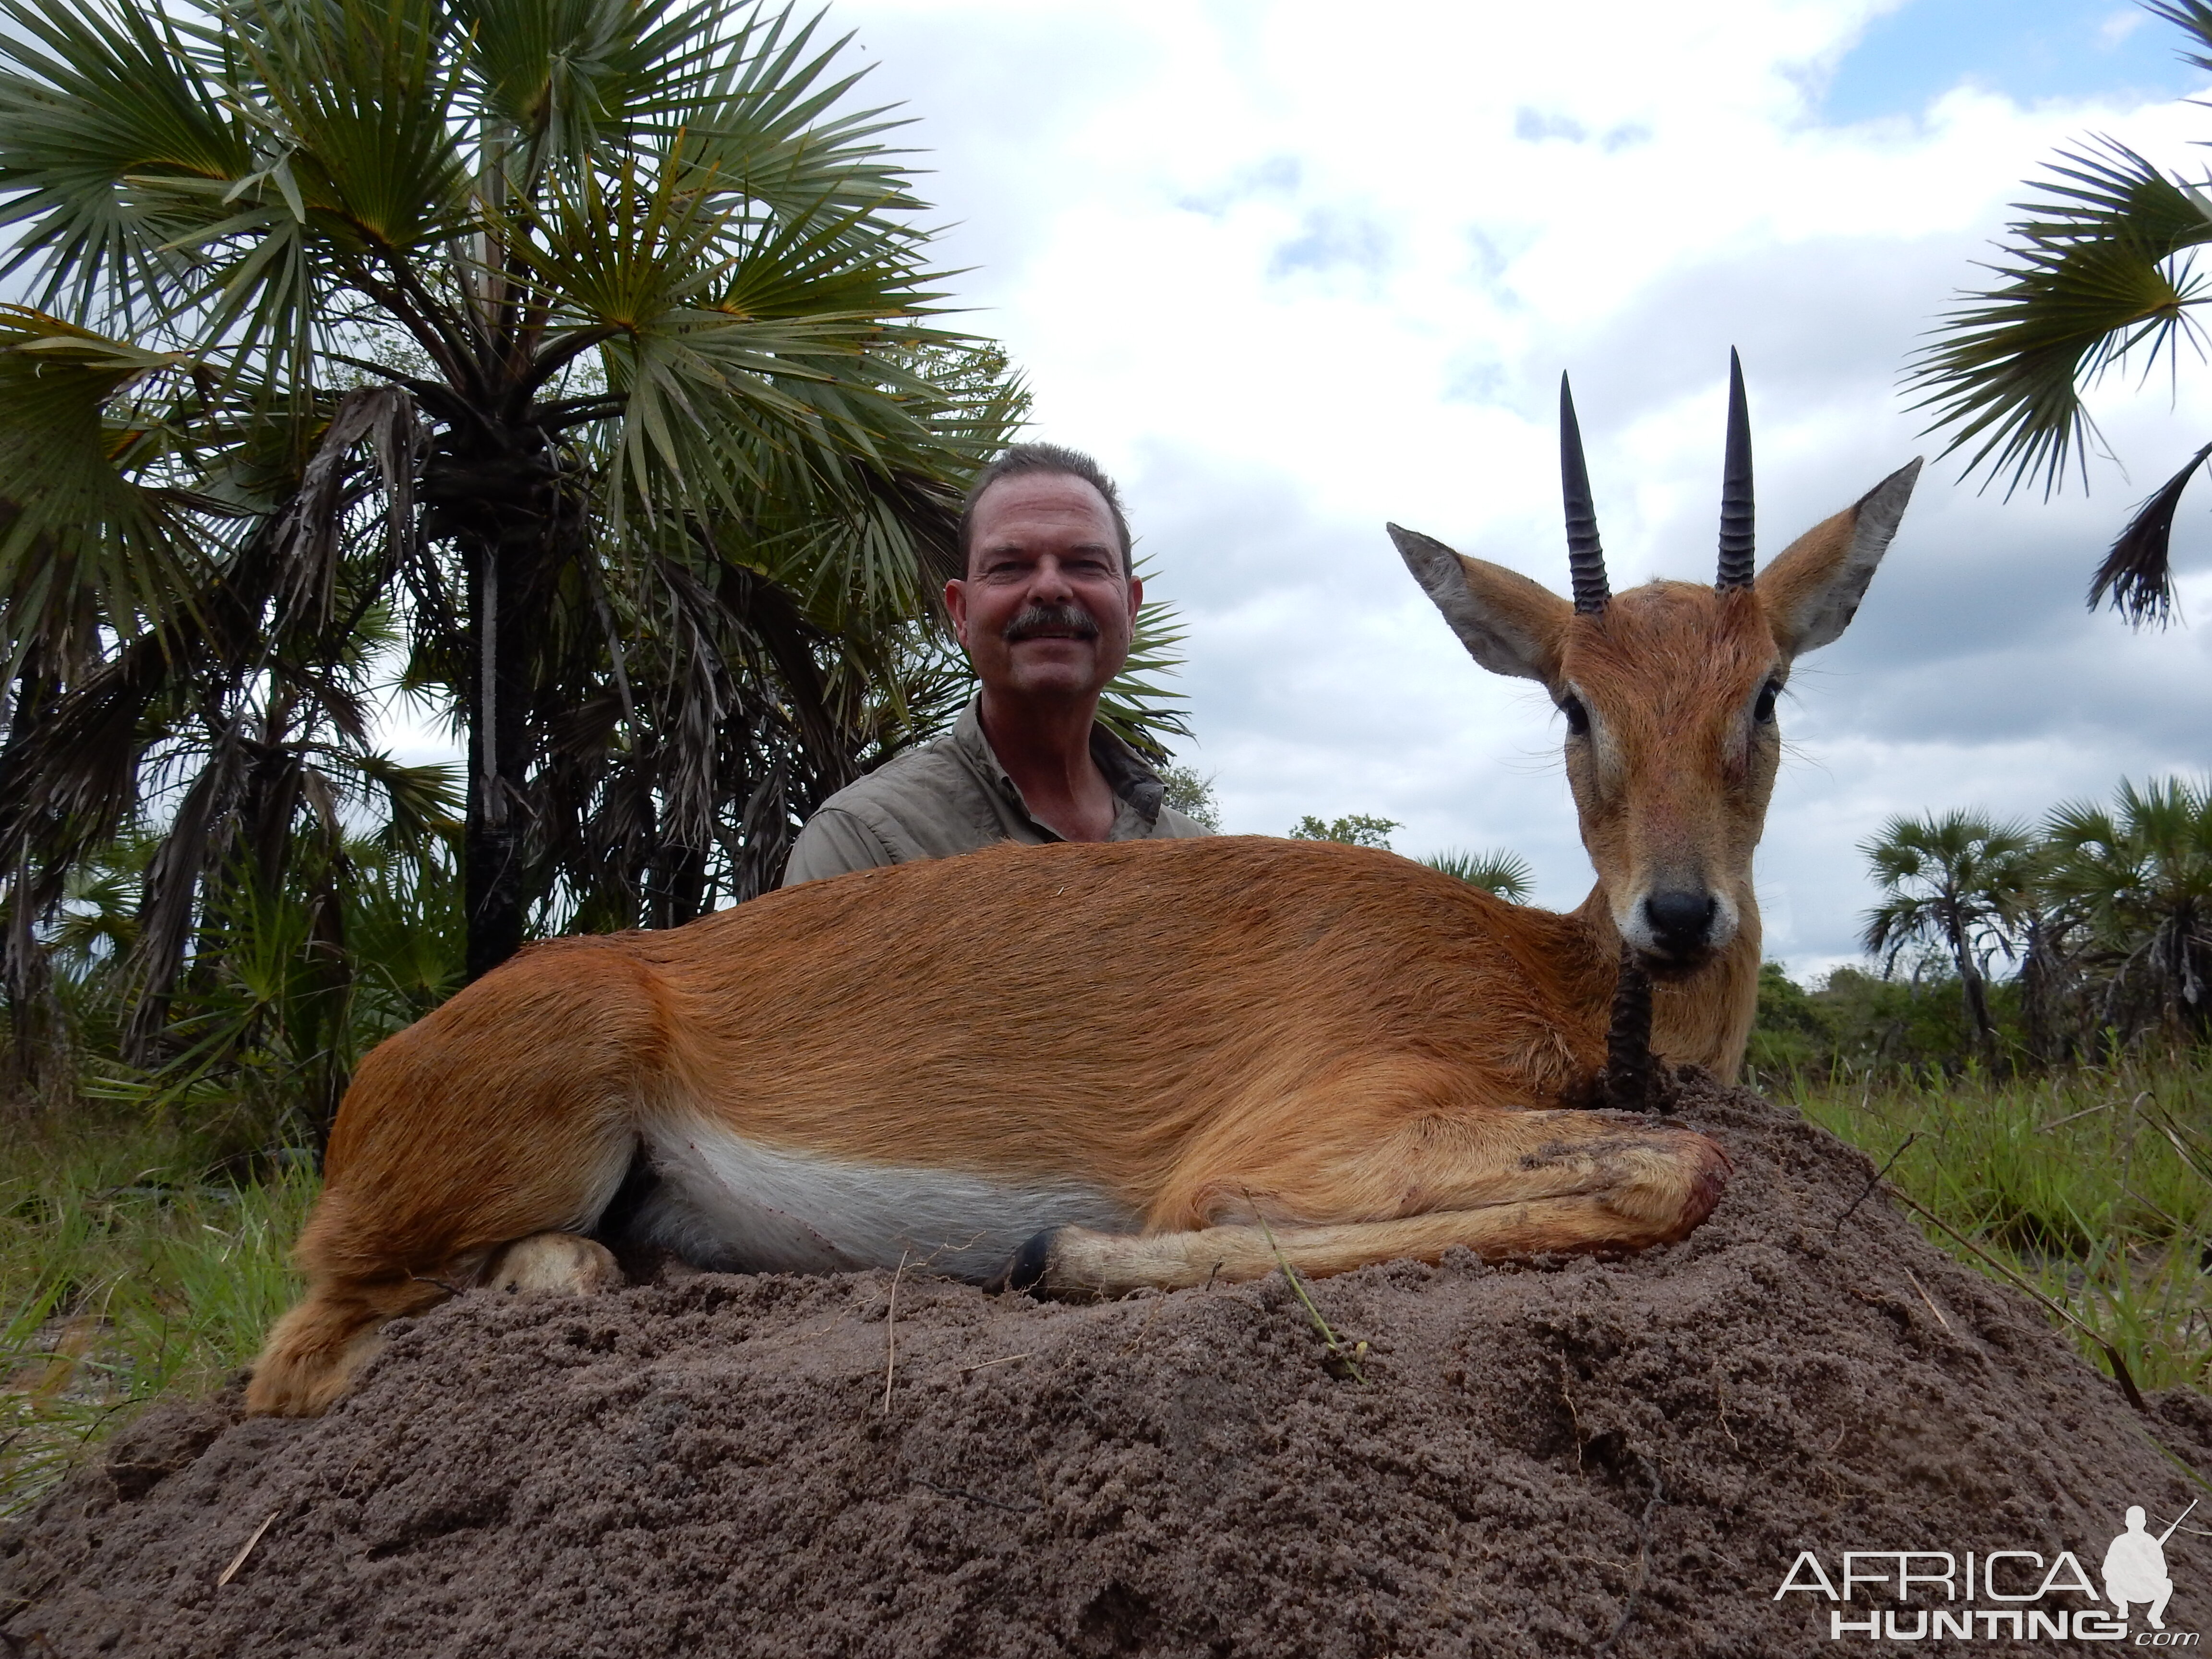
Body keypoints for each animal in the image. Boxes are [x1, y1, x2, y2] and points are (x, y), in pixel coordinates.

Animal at [246, 361, 1920, 1416]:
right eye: (1575, 703)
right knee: (294, 1358)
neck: (1541, 966)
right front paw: (1061, 1253)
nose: (1680, 917)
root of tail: (380, 1076)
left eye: (1766, 689)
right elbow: (1680, 1169)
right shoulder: (1313, 1132)